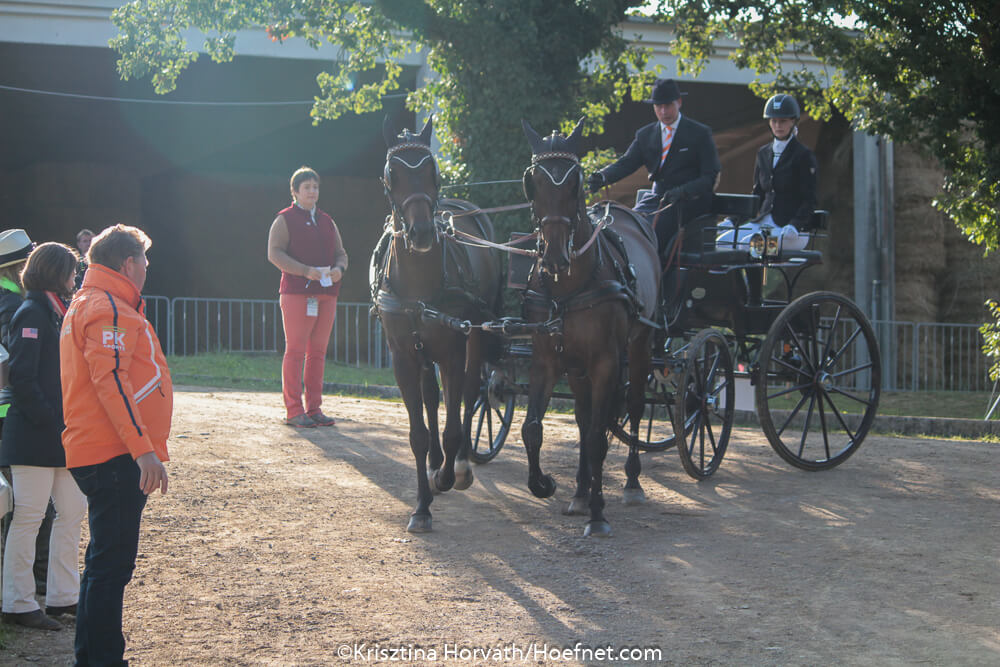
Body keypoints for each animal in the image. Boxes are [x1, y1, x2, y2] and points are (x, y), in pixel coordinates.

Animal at [372, 115, 504, 532]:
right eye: (391, 174)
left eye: (433, 170)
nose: (422, 233)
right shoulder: (402, 355)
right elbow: (418, 430)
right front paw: (421, 506)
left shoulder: (451, 350)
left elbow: (453, 422)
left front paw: (449, 473)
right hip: (422, 350)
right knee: (433, 397)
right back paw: (434, 466)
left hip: (474, 336)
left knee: (472, 391)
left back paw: (457, 465)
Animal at [520, 118, 660, 536]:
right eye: (533, 183)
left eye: (575, 184)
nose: (553, 256)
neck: (569, 286)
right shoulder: (548, 359)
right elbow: (533, 428)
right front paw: (544, 483)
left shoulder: (606, 362)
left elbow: (599, 437)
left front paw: (599, 513)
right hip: (577, 366)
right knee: (583, 418)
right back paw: (581, 492)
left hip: (640, 346)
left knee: (633, 407)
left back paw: (631, 484)